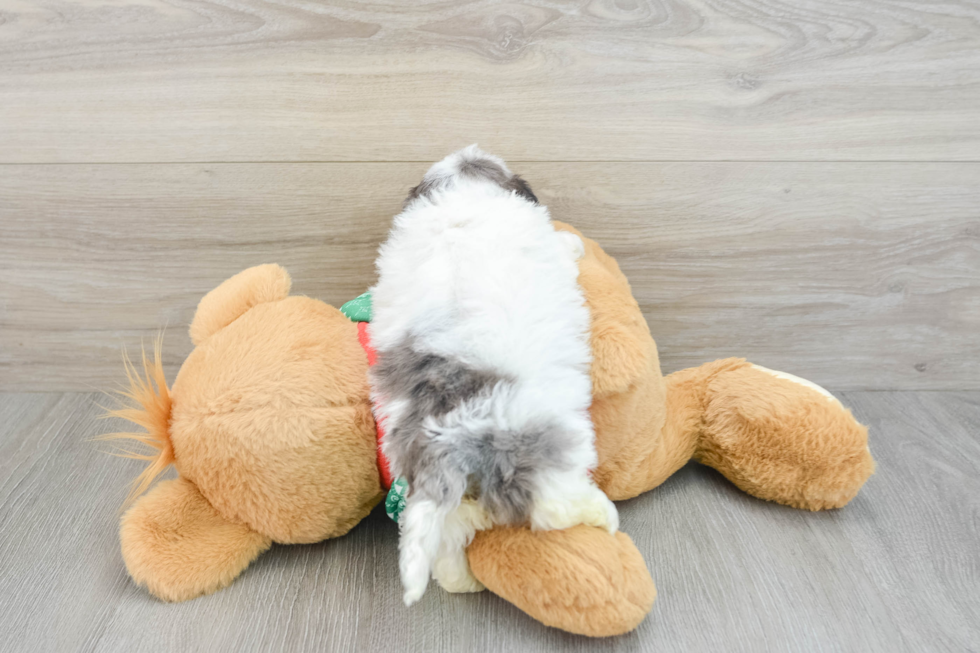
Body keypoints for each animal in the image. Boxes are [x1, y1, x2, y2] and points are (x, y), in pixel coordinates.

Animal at [372, 145, 616, 604]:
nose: (468, 149)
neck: (461, 196)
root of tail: (442, 436)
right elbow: (563, 248)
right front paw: (573, 242)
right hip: (541, 452)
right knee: (551, 508)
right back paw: (603, 514)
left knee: (451, 531)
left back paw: (459, 579)